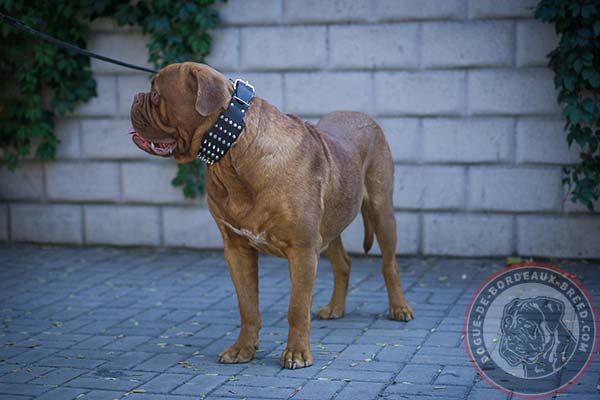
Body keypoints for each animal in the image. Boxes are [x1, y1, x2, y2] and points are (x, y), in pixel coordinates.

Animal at [130, 61, 412, 368]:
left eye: (156, 95)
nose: (135, 98)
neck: (232, 154)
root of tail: (362, 115)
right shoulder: (237, 249)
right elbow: (247, 306)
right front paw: (243, 349)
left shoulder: (302, 249)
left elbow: (297, 307)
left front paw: (297, 353)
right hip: (330, 223)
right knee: (343, 263)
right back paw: (335, 307)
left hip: (381, 210)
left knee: (389, 265)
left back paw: (400, 308)